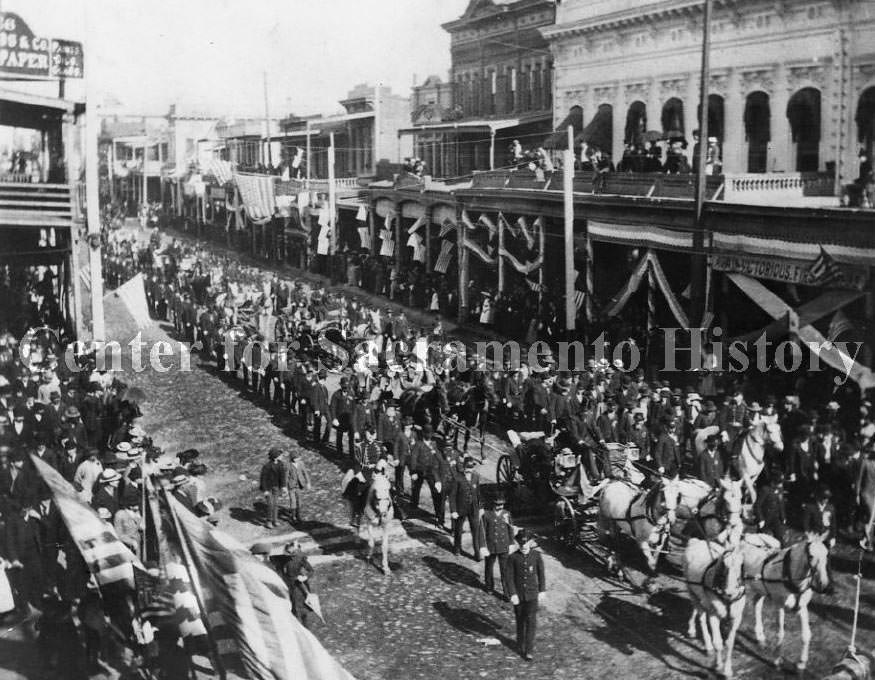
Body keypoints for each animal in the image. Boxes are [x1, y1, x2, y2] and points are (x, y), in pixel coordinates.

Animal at [684, 540, 744, 676]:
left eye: (741, 563)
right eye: (724, 564)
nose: (730, 592)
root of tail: (696, 541)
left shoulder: (736, 618)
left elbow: (730, 643)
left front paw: (727, 670)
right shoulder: (714, 616)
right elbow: (718, 643)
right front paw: (717, 665)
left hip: (700, 596)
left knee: (698, 609)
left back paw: (692, 629)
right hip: (691, 591)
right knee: (700, 617)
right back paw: (706, 644)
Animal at [744, 532, 832, 672]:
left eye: (827, 555)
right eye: (811, 555)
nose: (824, 585)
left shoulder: (802, 607)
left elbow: (806, 634)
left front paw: (801, 663)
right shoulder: (779, 606)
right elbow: (780, 634)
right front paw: (777, 661)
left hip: (760, 589)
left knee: (756, 603)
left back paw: (760, 638)